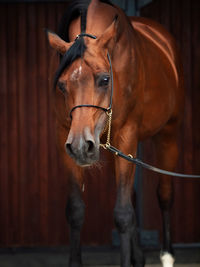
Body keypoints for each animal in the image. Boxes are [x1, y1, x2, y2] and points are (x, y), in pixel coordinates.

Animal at [45, 1, 184, 266]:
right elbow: (76, 210)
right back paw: (139, 256)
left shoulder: (127, 134)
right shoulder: (63, 137)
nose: (81, 146)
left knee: (165, 194)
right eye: (62, 85)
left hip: (168, 132)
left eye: (104, 79)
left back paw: (167, 255)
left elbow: (122, 213)